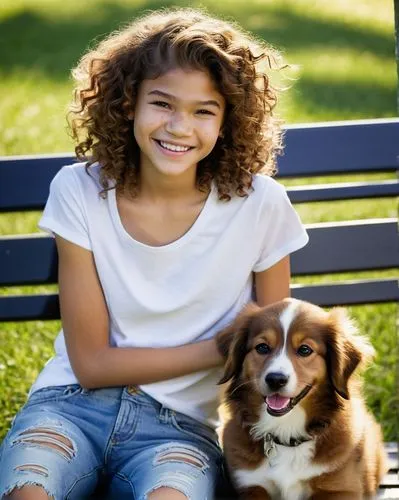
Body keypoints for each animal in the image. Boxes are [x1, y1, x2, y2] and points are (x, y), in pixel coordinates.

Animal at [216, 298, 388, 498]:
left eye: (305, 350)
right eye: (262, 347)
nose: (276, 379)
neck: (286, 432)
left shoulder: (341, 489)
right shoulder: (251, 486)